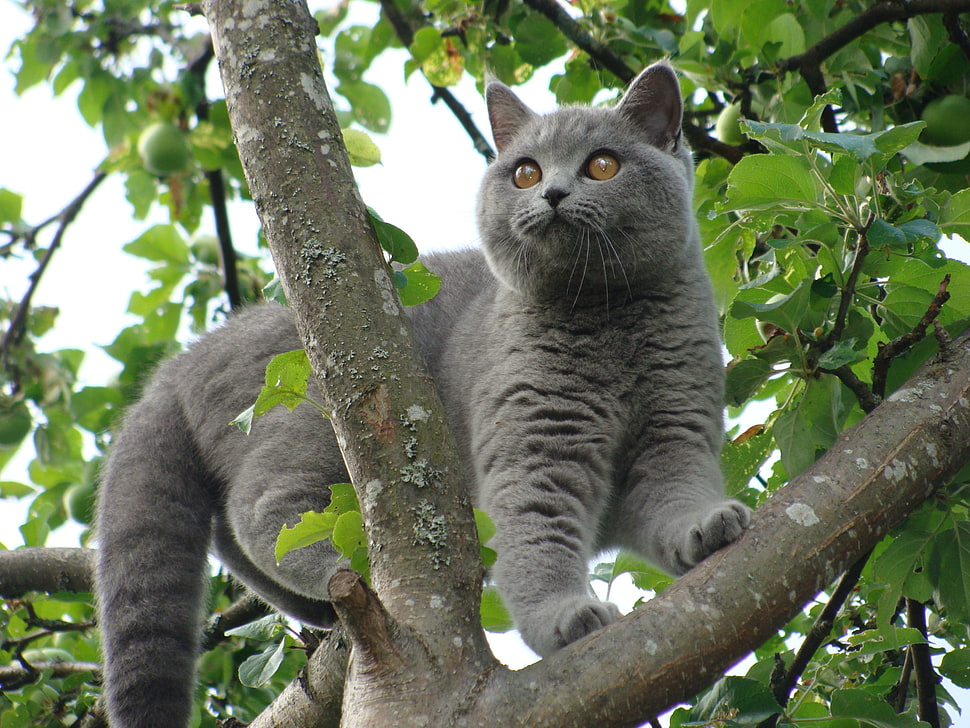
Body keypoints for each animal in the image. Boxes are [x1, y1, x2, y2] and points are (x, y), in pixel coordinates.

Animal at [96, 64, 748, 728]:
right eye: (526, 172)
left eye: (603, 165)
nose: (553, 194)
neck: (611, 322)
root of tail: (179, 364)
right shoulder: (533, 443)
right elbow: (536, 538)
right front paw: (568, 616)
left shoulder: (675, 429)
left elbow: (672, 496)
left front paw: (708, 524)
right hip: (311, 421)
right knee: (262, 513)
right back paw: (345, 572)